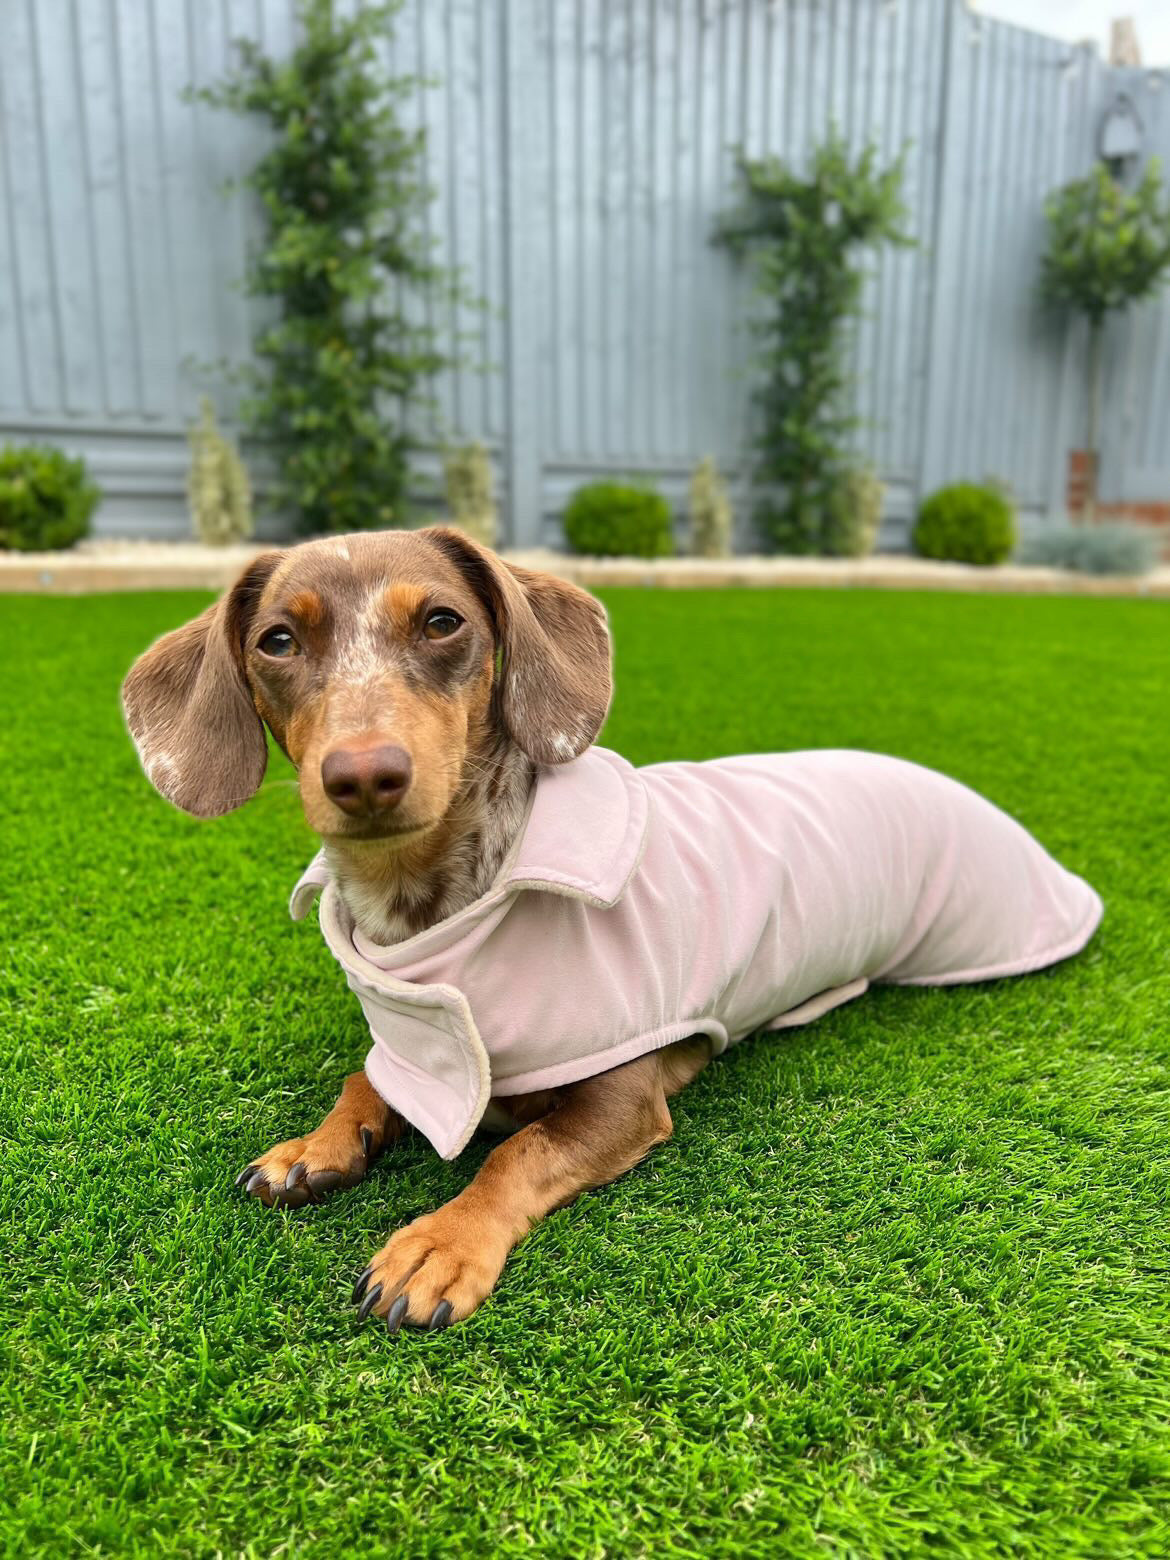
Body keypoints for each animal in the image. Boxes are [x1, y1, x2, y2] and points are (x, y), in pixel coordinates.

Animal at [124, 530, 1104, 1335]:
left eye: (443, 622)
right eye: (277, 642)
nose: (364, 775)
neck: (437, 916)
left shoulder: (625, 1098)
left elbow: (514, 1151)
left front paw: (440, 1244)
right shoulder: (410, 1045)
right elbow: (367, 1079)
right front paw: (316, 1148)